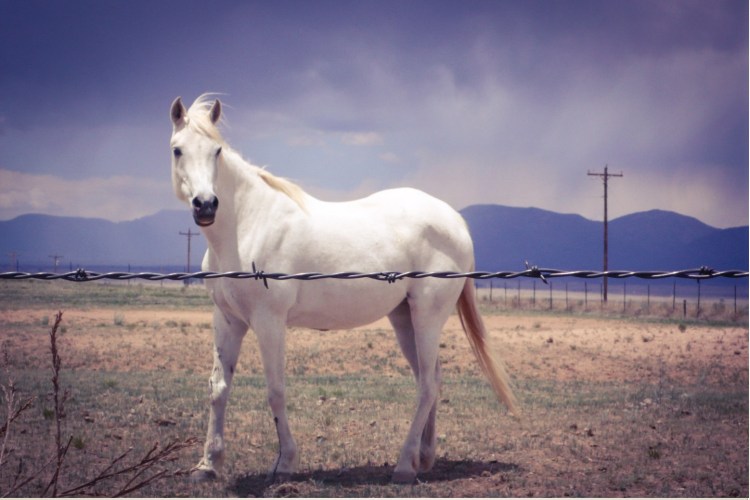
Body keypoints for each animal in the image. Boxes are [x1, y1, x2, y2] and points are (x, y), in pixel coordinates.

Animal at [169, 94, 517, 484]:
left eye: (216, 151)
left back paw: (403, 466)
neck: (247, 224)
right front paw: (208, 465)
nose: (205, 205)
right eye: (177, 149)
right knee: (432, 379)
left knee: (427, 385)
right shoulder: (228, 320)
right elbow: (218, 389)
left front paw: (285, 463)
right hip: (404, 318)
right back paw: (423, 458)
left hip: (428, 316)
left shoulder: (268, 322)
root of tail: (454, 219)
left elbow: (275, 390)